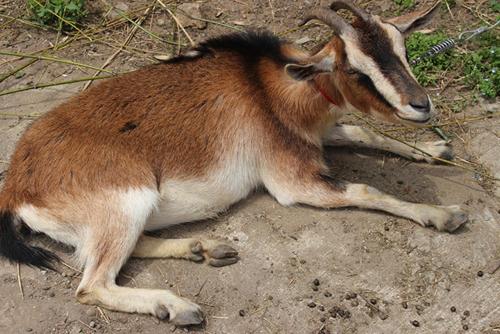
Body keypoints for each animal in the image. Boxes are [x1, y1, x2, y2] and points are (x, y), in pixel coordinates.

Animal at [0, 1, 468, 326]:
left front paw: (435, 149)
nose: (421, 106)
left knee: (118, 252)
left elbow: (366, 134)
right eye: (355, 70)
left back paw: (204, 248)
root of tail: (15, 189)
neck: (269, 84)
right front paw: (444, 214)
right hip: (127, 200)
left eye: (401, 50)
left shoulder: (317, 135)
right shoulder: (291, 181)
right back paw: (176, 305)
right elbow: (365, 188)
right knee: (92, 283)